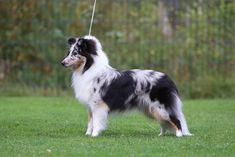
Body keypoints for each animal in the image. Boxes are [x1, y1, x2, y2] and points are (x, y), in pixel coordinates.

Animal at [60, 35, 191, 137]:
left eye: (75, 53)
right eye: (69, 53)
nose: (62, 63)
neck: (88, 68)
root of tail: (167, 78)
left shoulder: (98, 105)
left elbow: (96, 122)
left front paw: (94, 135)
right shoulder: (90, 106)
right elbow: (90, 122)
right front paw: (88, 134)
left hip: (161, 108)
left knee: (176, 120)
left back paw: (179, 135)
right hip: (153, 110)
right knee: (165, 123)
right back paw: (161, 134)